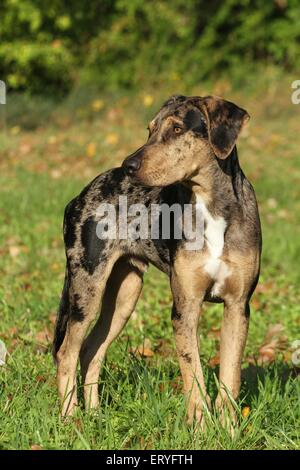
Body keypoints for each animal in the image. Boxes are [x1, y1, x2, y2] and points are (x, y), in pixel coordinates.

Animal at [52, 94, 262, 426]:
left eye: (176, 129)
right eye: (149, 129)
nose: (128, 165)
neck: (211, 206)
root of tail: (78, 196)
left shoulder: (238, 305)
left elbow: (230, 379)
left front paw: (228, 430)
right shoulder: (185, 307)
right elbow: (194, 377)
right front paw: (199, 429)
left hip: (125, 293)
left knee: (91, 350)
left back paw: (96, 416)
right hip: (86, 286)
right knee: (66, 353)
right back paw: (72, 420)